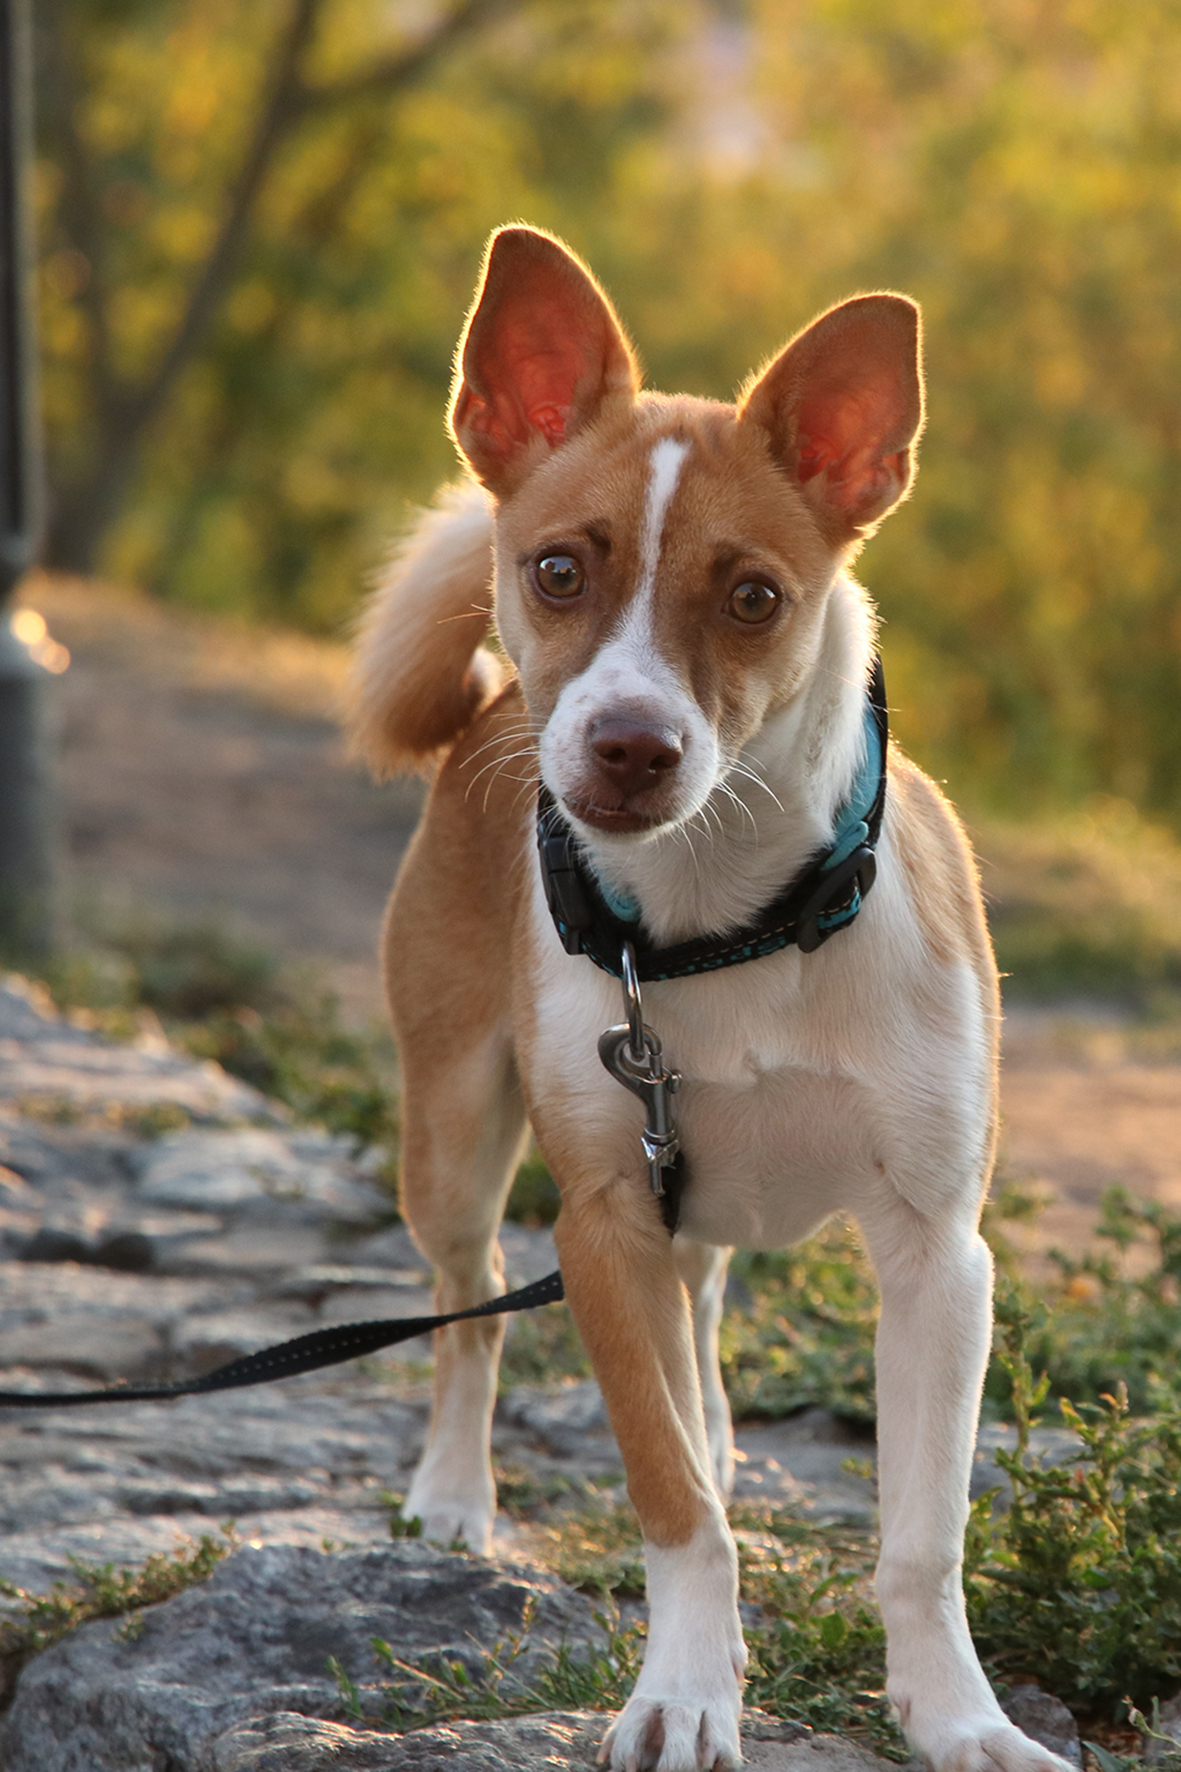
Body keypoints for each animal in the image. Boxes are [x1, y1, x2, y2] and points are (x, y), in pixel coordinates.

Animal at [349, 228, 1063, 1772]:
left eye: (753, 598)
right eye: (557, 568)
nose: (628, 744)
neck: (722, 929)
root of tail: (486, 708)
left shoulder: (939, 1255)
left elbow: (920, 1538)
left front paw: (956, 1717)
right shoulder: (606, 1228)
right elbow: (671, 1502)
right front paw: (683, 1691)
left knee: (706, 1320)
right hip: (454, 1137)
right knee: (471, 1303)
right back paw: (453, 1492)